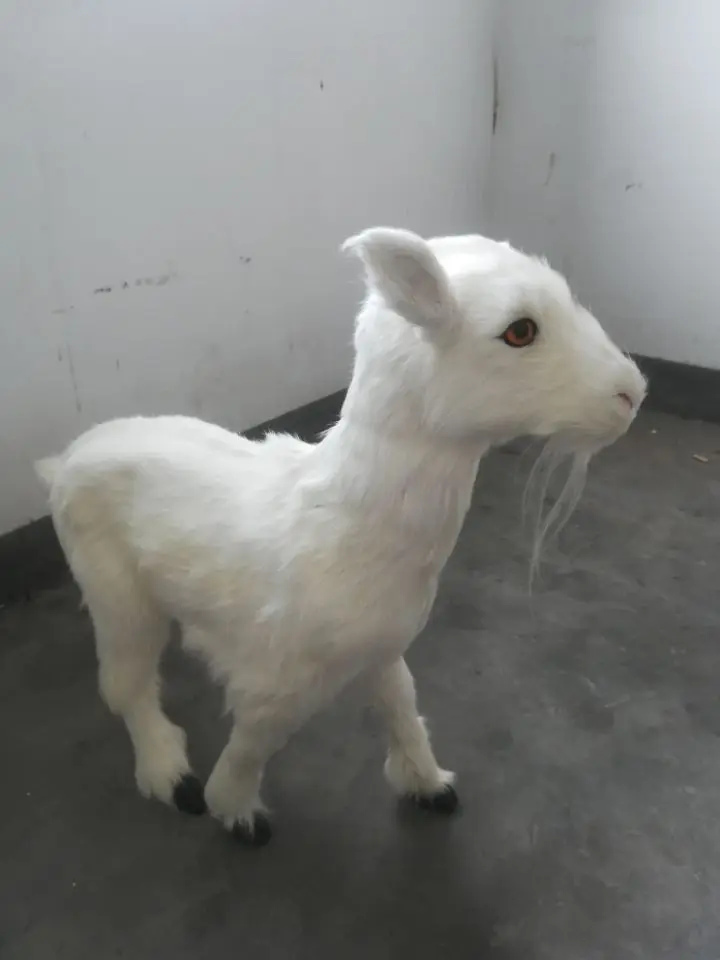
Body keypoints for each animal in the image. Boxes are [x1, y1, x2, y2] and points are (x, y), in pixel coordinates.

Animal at [36, 227, 646, 847]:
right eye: (519, 331)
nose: (634, 393)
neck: (349, 518)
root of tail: (63, 462)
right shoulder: (276, 685)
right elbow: (254, 742)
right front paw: (234, 811)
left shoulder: (381, 648)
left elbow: (400, 703)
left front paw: (429, 784)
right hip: (118, 599)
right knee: (126, 687)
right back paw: (171, 776)